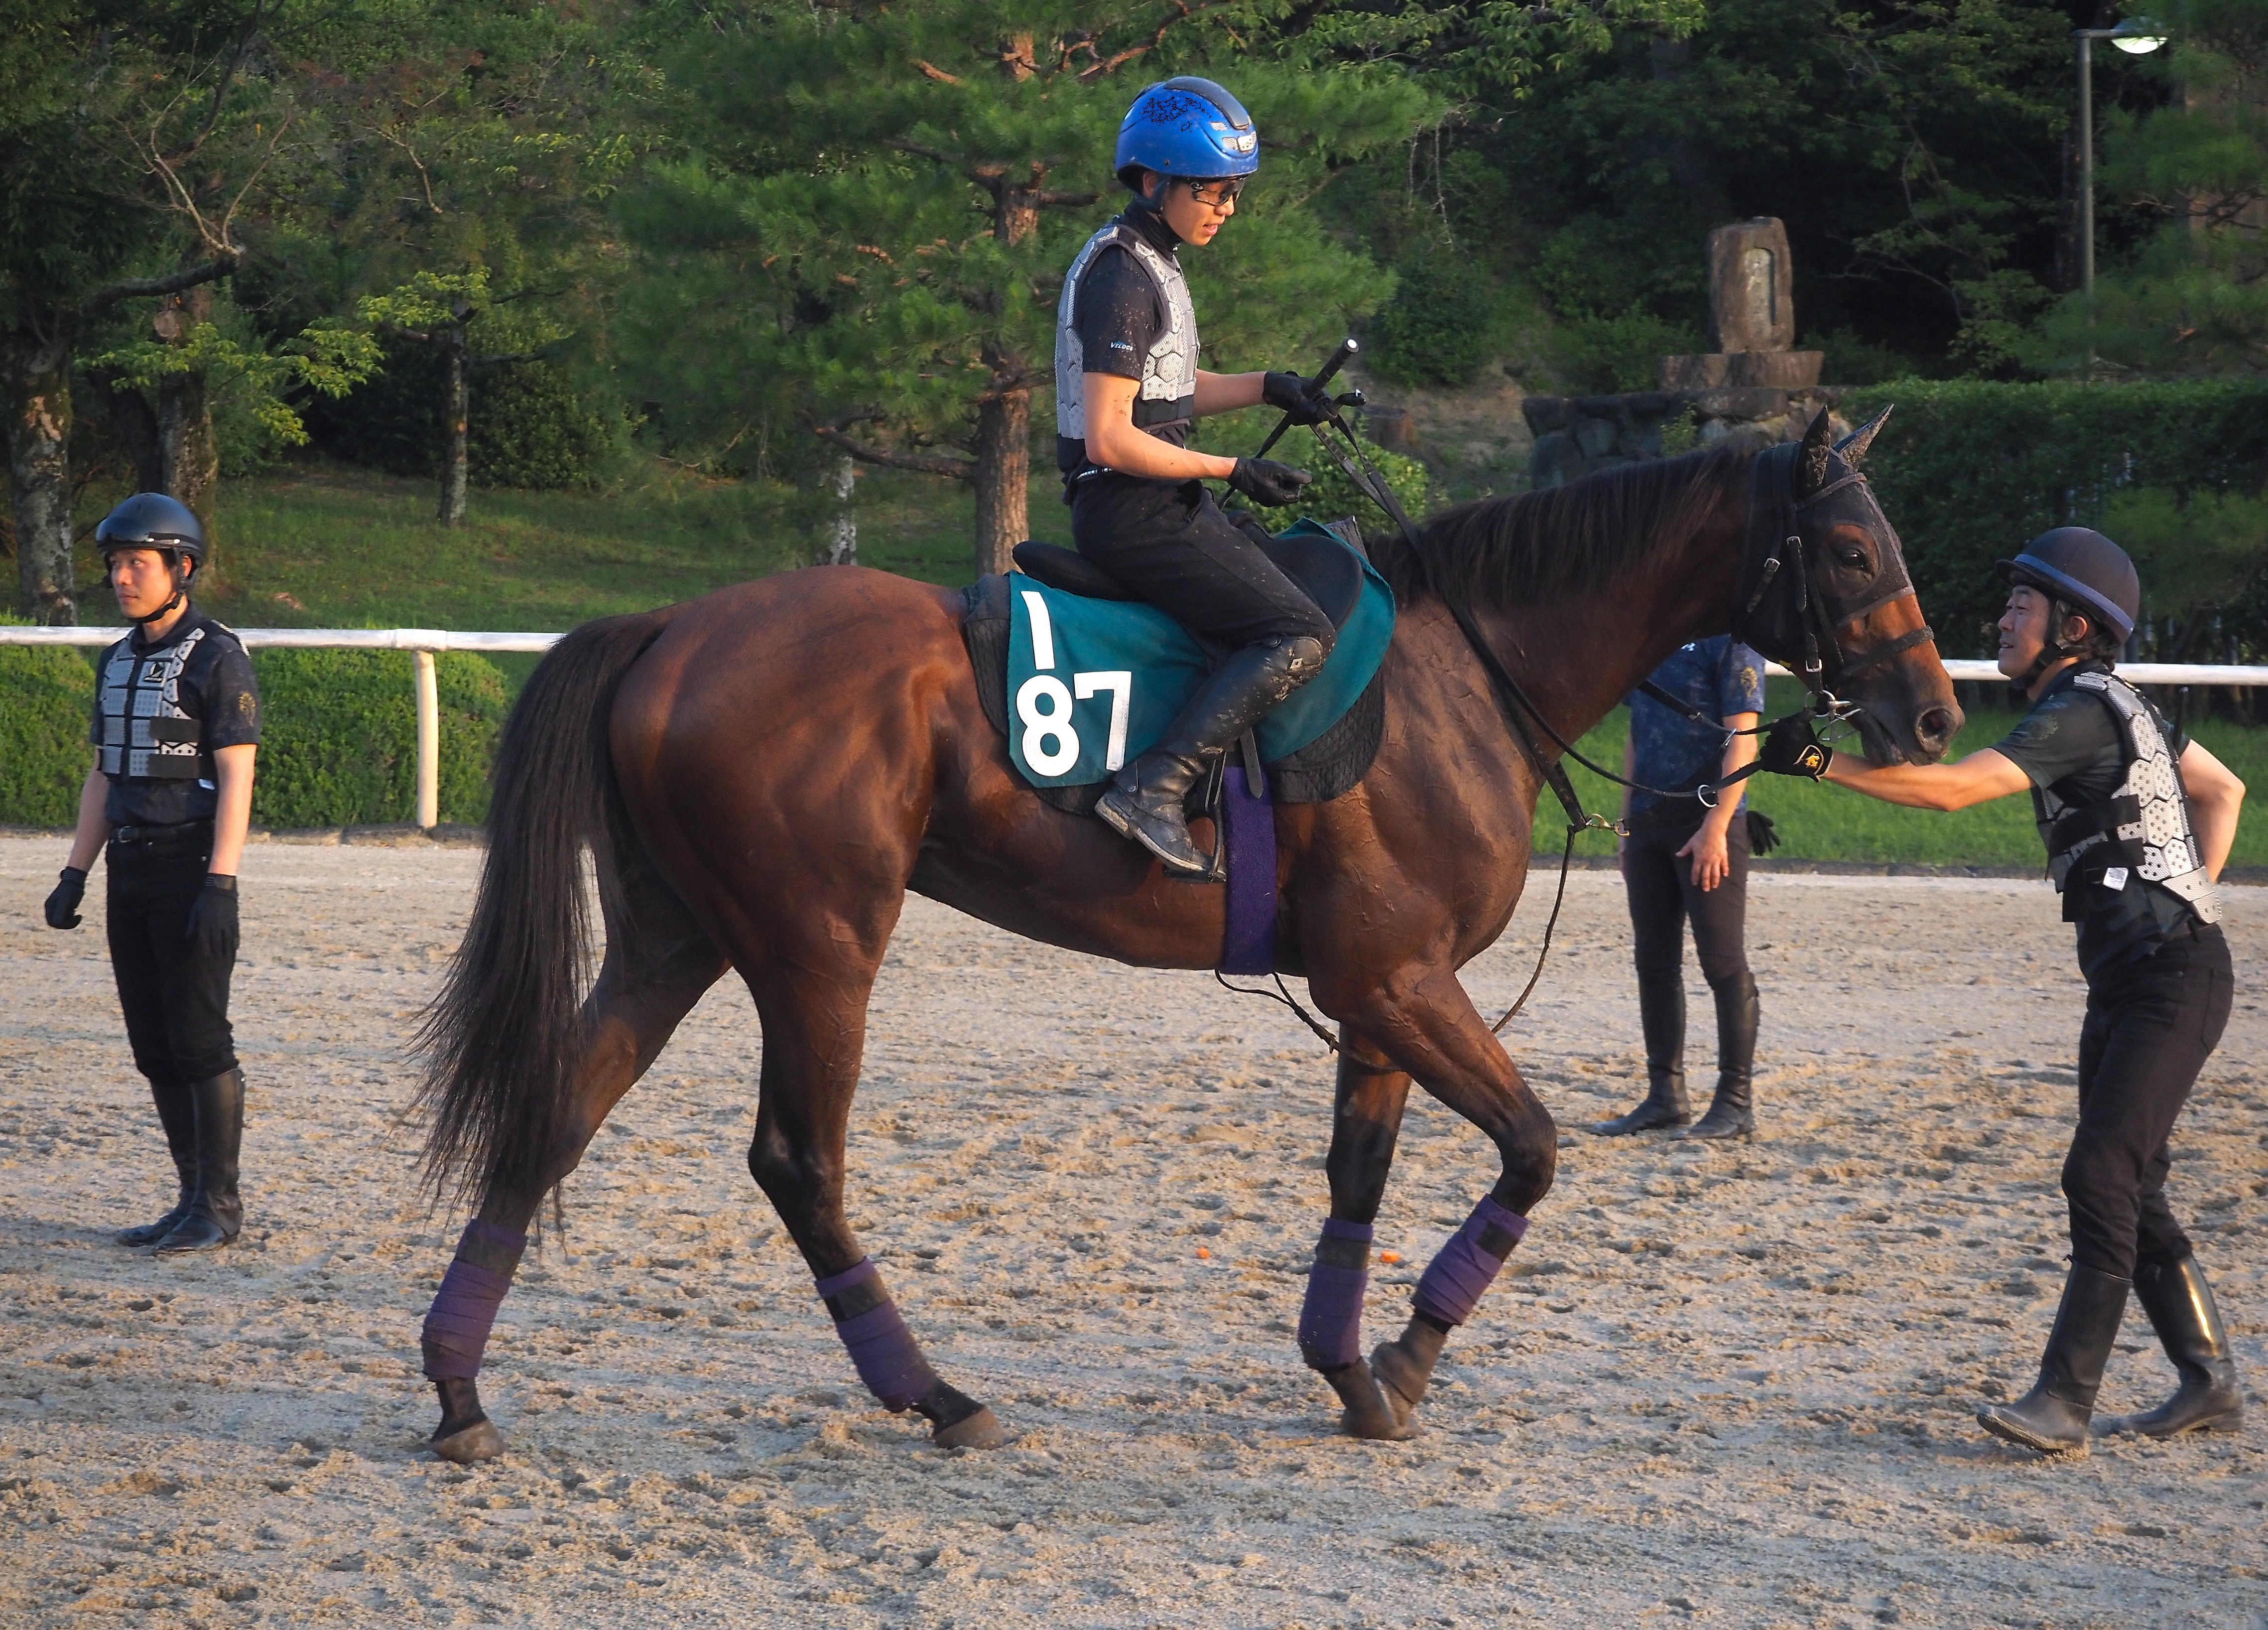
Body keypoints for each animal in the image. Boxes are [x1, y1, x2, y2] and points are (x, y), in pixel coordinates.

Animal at [411, 409, 1960, 1463]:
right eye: (1848, 547)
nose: (1935, 712)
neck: (1467, 668)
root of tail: (672, 628)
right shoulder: (1399, 979)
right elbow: (1530, 1150)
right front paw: (1409, 1352)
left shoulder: (1381, 990)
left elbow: (1359, 1176)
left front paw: (1351, 1370)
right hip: (818, 950)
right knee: (798, 1164)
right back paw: (935, 1394)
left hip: (676, 942)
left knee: (557, 1109)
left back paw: (459, 1388)